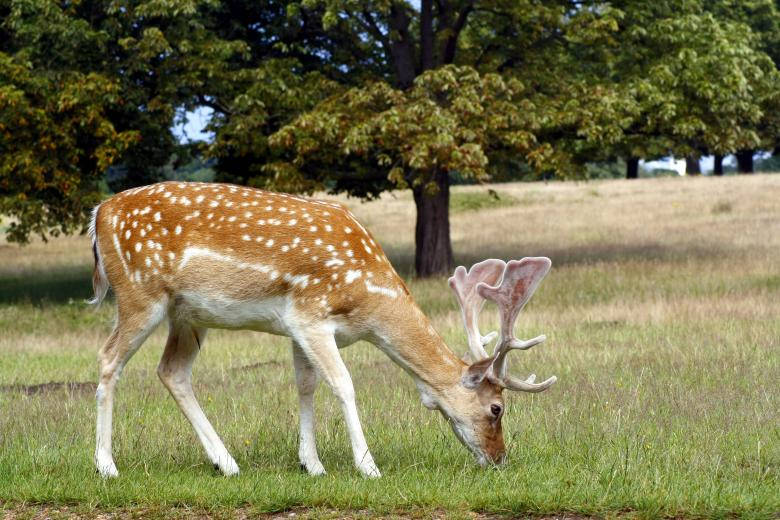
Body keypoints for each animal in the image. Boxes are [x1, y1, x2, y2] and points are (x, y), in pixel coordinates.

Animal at [87, 181, 557, 478]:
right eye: (496, 409)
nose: (500, 459)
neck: (367, 303)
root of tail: (98, 215)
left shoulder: (297, 327)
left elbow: (306, 385)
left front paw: (310, 464)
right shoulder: (310, 315)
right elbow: (343, 384)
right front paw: (367, 466)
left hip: (187, 314)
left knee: (172, 371)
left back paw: (227, 462)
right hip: (140, 293)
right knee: (108, 358)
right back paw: (107, 465)